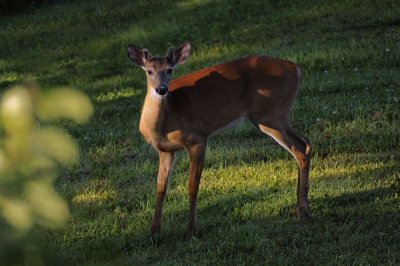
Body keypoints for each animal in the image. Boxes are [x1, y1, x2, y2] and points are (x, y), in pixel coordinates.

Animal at [128, 42, 312, 241]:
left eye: (170, 70)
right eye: (149, 71)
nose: (161, 89)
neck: (165, 124)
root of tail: (296, 68)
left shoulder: (198, 139)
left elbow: (192, 185)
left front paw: (191, 231)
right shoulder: (166, 150)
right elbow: (161, 186)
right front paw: (153, 231)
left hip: (270, 113)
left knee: (300, 149)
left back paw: (302, 213)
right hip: (273, 115)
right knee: (306, 142)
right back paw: (304, 208)